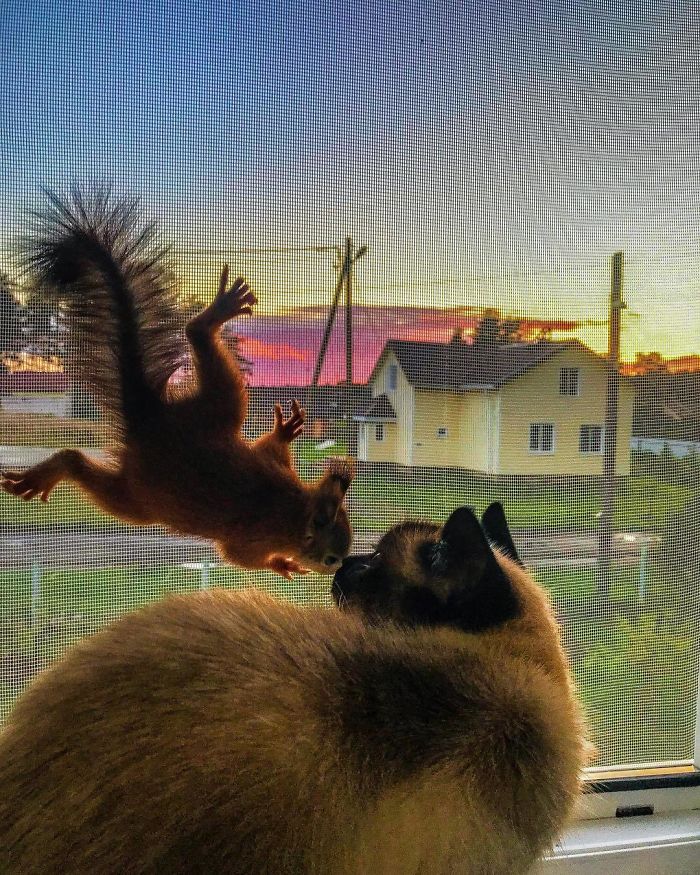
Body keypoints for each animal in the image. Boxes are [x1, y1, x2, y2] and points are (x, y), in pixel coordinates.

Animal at [0, 185, 354, 578]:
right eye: (330, 557)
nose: (340, 567)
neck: (294, 507)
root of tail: (149, 416)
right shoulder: (253, 539)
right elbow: (238, 556)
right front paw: (283, 564)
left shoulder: (273, 465)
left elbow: (269, 449)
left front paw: (283, 433)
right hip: (138, 496)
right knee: (82, 464)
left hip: (211, 414)